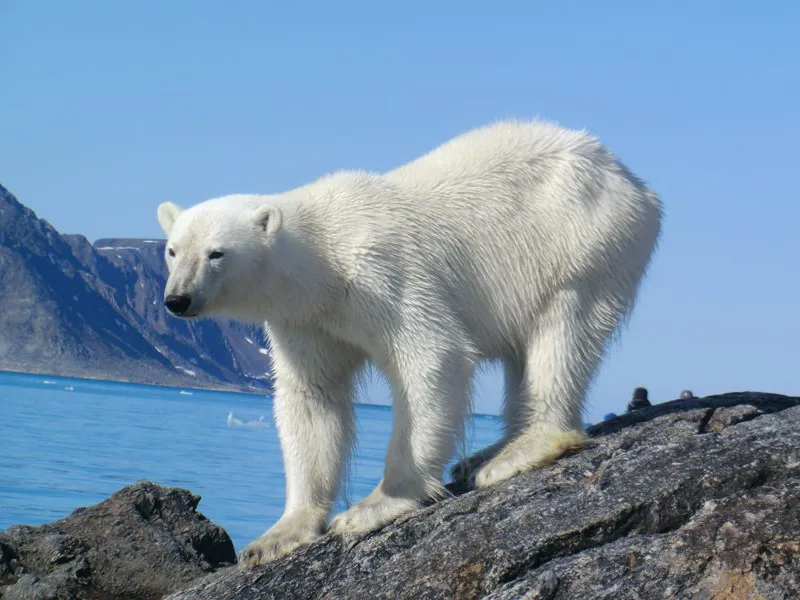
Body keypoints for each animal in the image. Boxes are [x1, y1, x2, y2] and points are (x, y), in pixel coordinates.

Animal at [156, 119, 663, 566]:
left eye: (217, 253)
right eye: (173, 250)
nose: (177, 300)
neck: (320, 260)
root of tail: (633, 181)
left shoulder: (380, 273)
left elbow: (432, 356)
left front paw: (375, 505)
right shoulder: (307, 320)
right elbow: (312, 397)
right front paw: (278, 536)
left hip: (580, 238)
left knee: (561, 331)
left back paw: (520, 451)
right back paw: (487, 452)